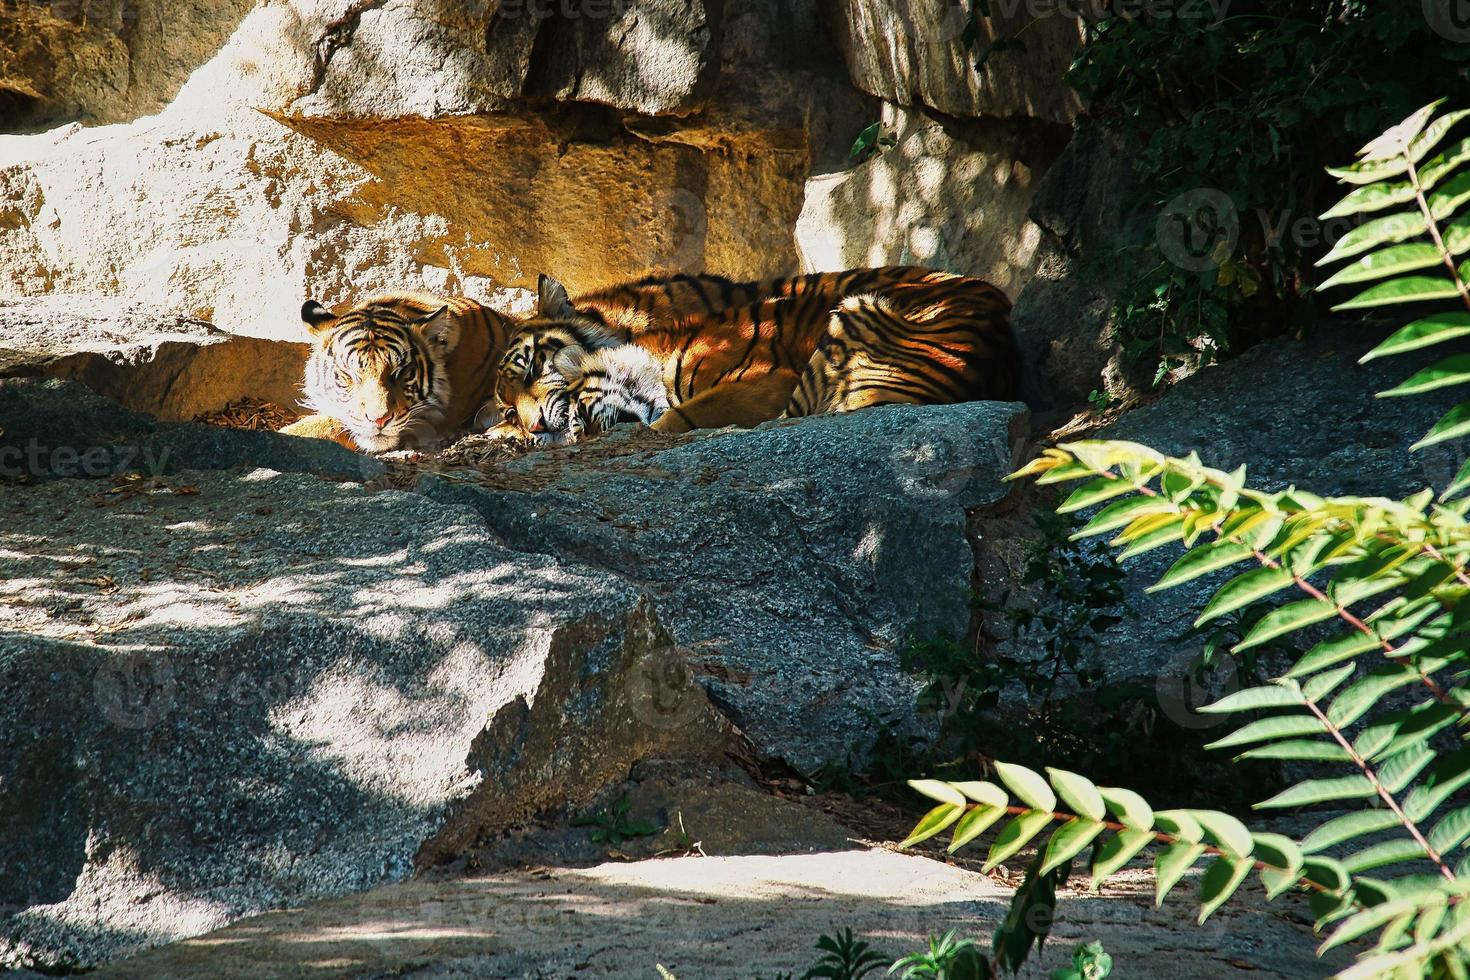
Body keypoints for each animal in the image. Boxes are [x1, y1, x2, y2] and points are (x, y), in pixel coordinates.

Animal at [488, 262, 1017, 443]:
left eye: (533, 366)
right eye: (509, 408)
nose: (536, 427)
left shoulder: (767, 377)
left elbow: (685, 414)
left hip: (855, 311)